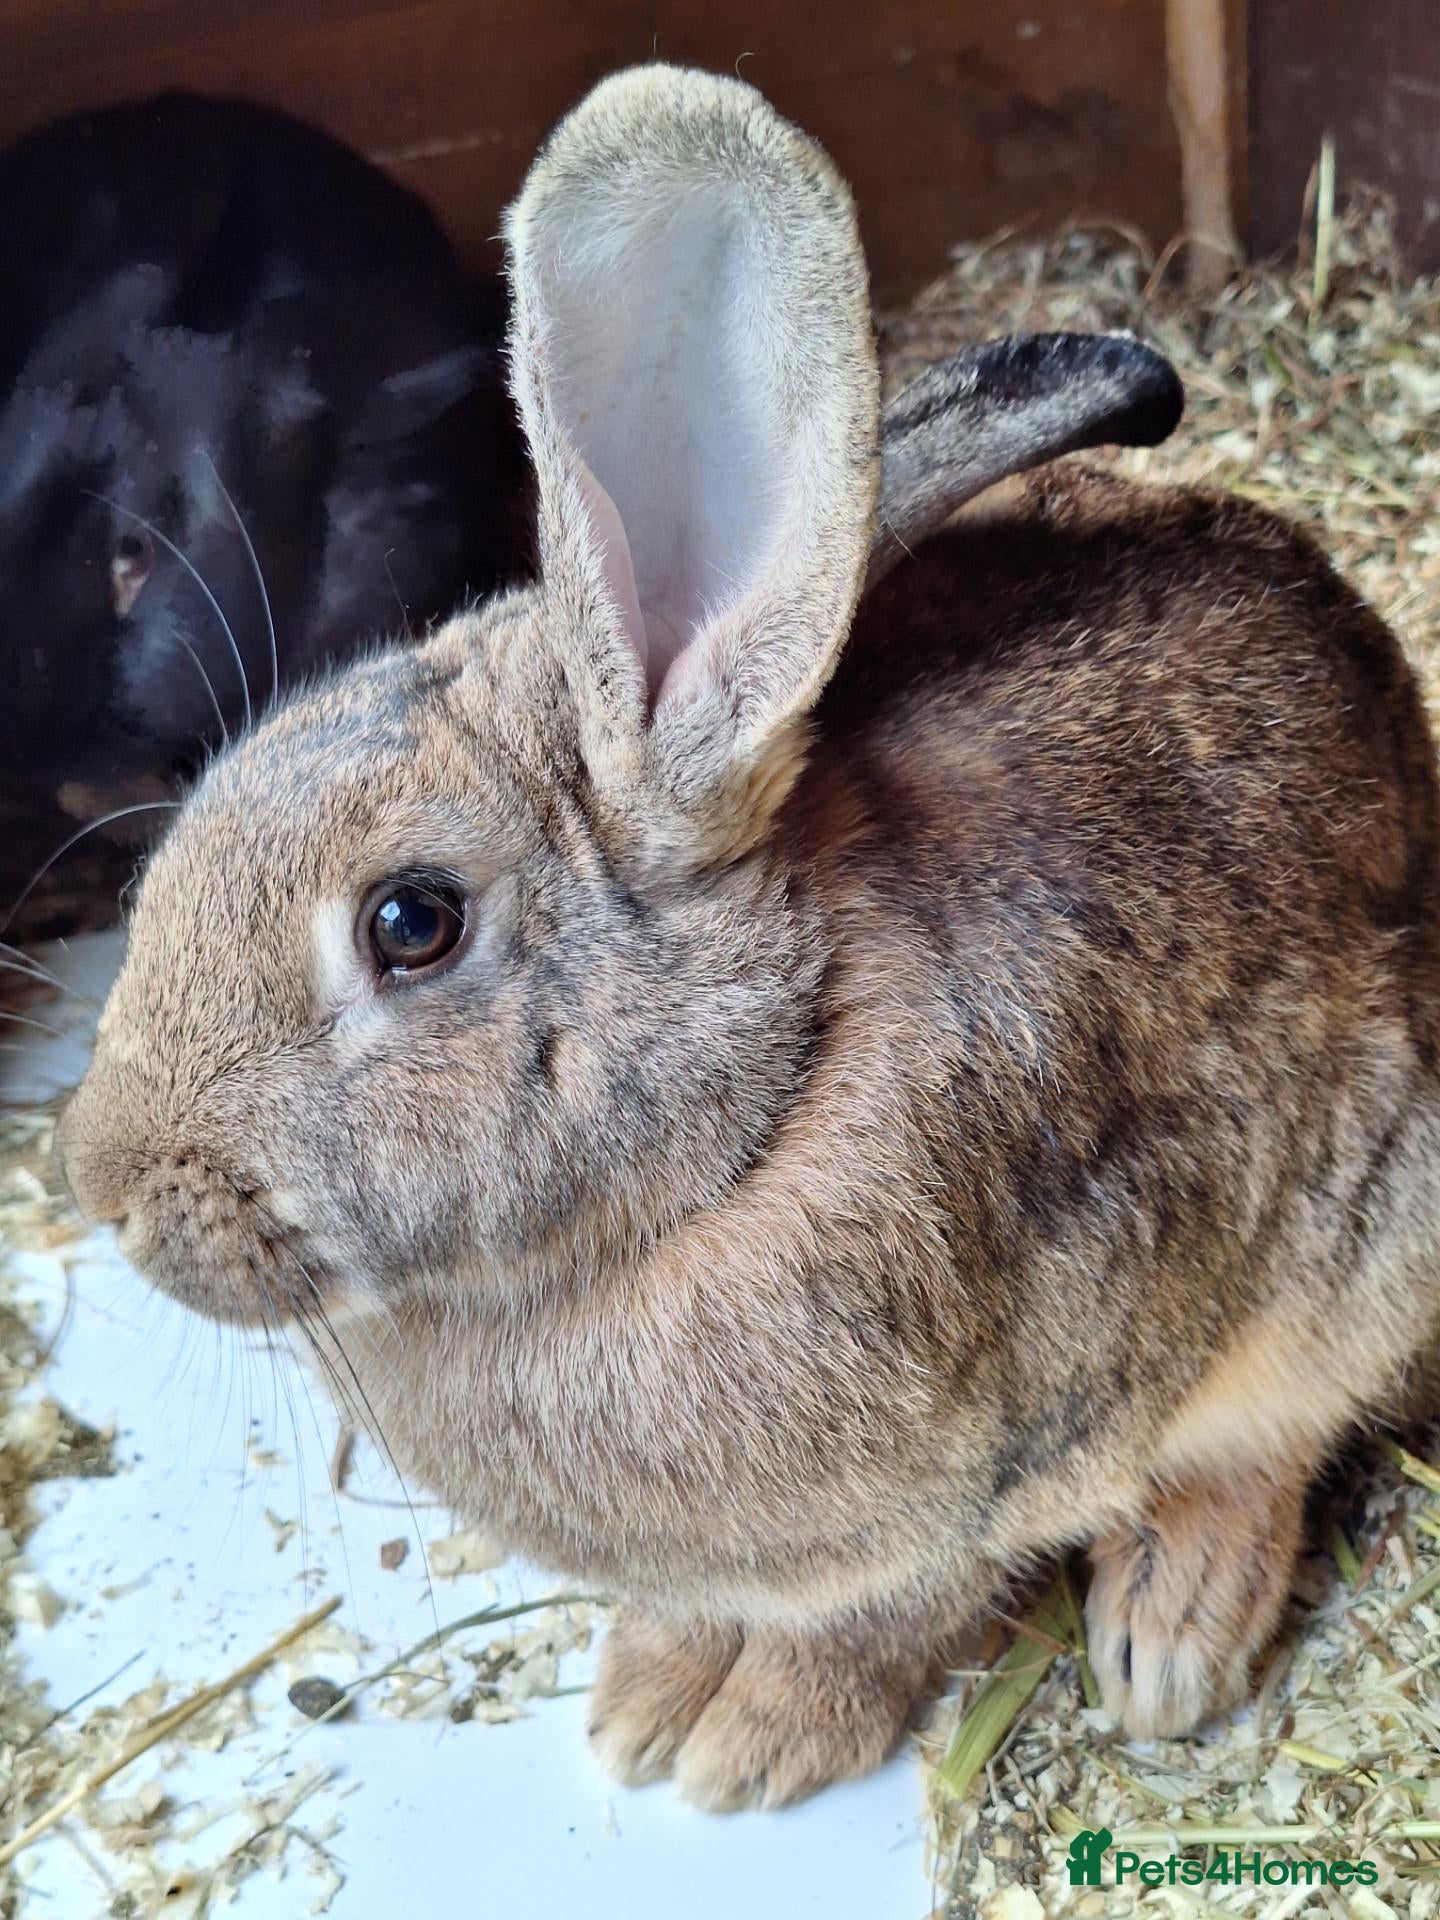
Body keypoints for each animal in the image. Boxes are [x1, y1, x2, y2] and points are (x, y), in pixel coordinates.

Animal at [56, 63, 1440, 1812]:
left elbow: (888, 1616)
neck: (757, 1119)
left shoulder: (989, 1470)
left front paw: (739, 1744)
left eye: (411, 923)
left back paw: (1170, 1634)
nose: (99, 1179)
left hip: (1371, 1226)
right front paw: (652, 1690)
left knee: (1280, 1432)